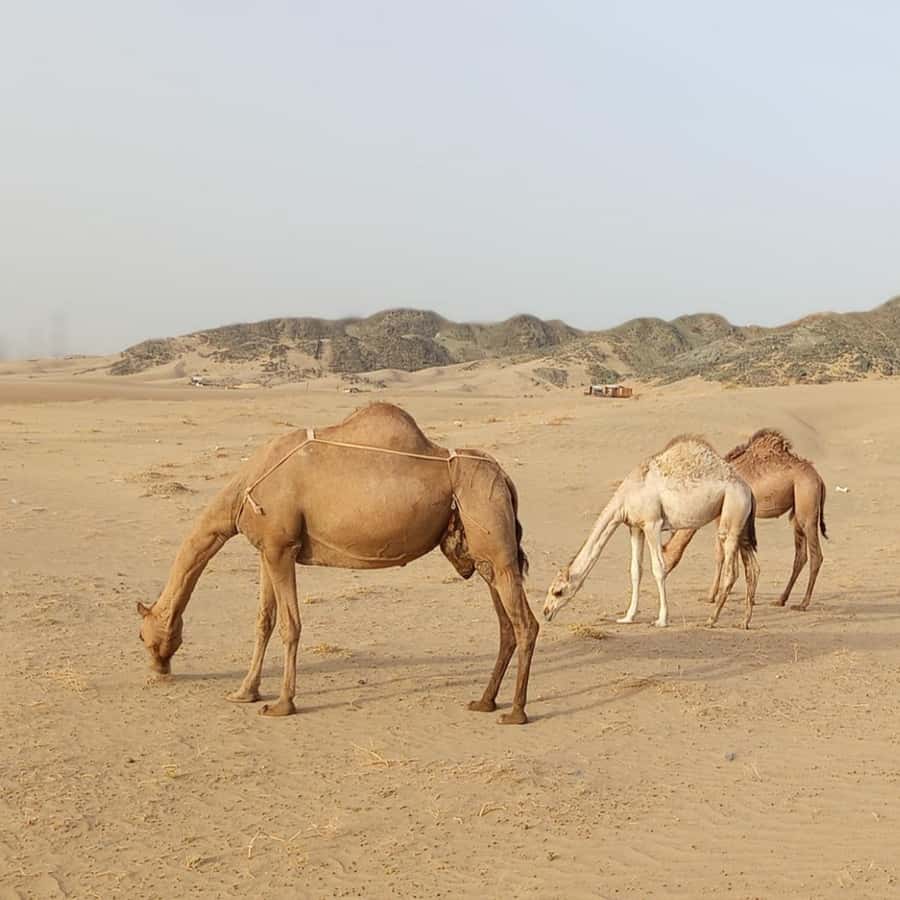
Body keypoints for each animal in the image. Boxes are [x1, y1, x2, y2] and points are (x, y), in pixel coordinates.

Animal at [136, 403, 538, 724]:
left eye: (142, 635)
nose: (159, 669)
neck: (241, 490)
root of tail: (505, 477)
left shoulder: (282, 547)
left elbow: (290, 625)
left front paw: (282, 704)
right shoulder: (267, 548)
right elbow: (264, 621)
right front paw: (244, 692)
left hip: (494, 536)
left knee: (526, 624)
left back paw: (516, 712)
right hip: (484, 554)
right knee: (506, 624)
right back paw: (485, 702)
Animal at [543, 436, 760, 629]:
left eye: (558, 591)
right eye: (551, 590)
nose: (546, 612)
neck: (626, 495)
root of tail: (748, 489)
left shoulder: (652, 523)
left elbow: (658, 568)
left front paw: (661, 620)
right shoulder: (635, 527)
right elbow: (635, 570)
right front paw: (627, 617)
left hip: (732, 512)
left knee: (732, 570)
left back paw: (711, 620)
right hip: (741, 523)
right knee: (752, 567)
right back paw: (744, 622)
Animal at [663, 428, 827, 610]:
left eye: (662, 554)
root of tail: (819, 479)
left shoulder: (721, 517)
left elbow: (719, 555)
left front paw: (710, 597)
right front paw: (749, 600)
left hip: (807, 502)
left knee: (816, 555)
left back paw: (803, 604)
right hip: (796, 510)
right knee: (800, 556)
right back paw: (780, 600)